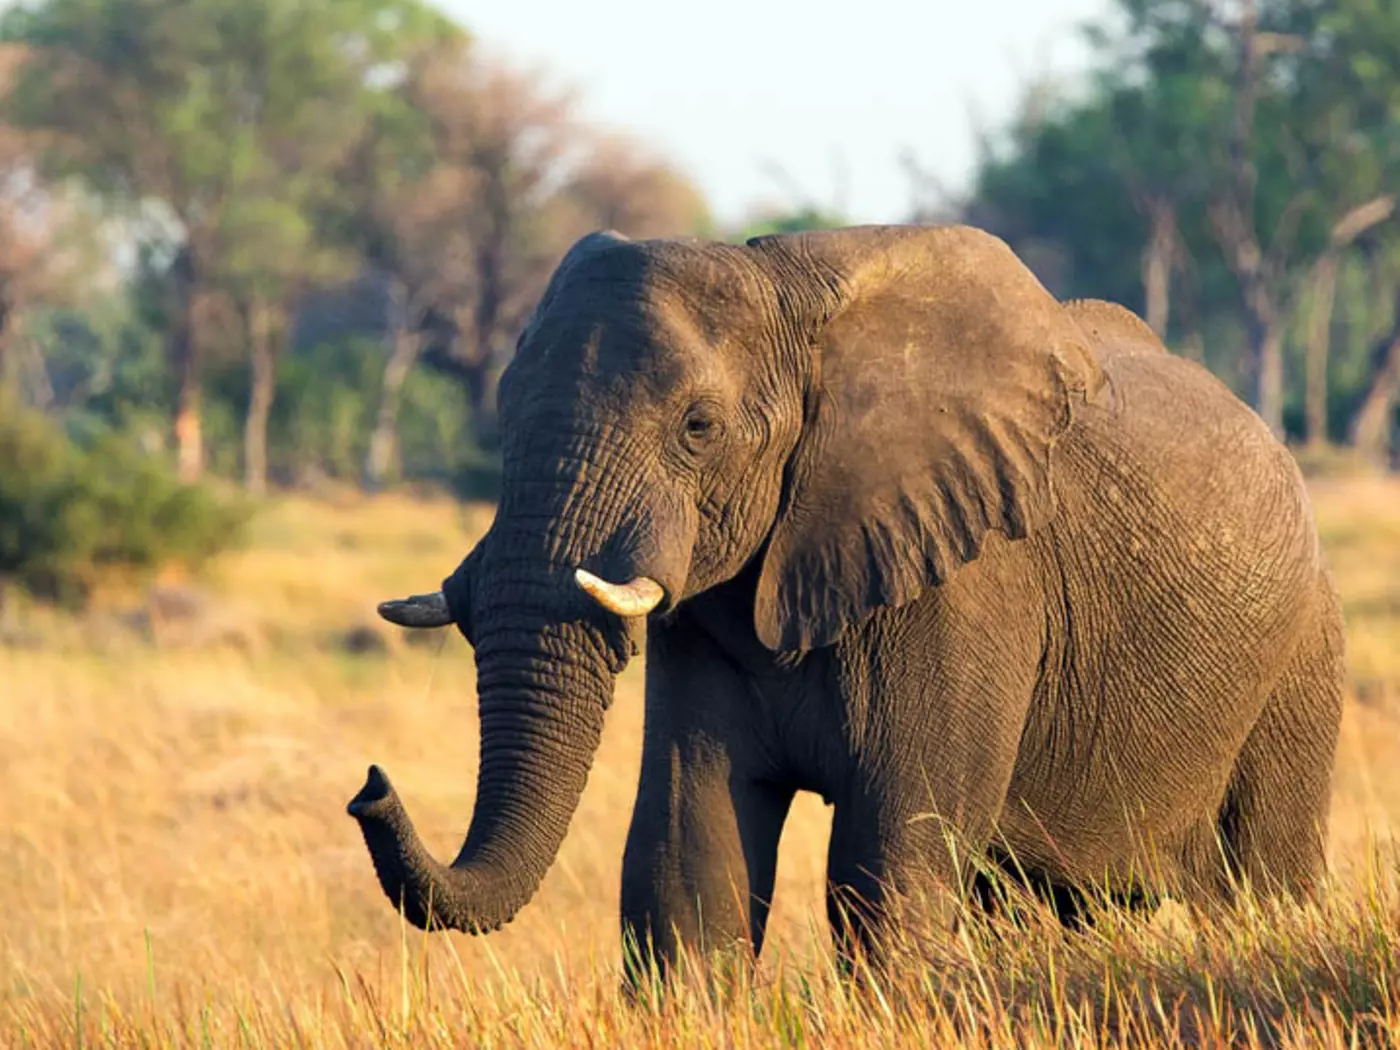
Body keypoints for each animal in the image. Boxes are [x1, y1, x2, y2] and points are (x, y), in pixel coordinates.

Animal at [347, 224, 1345, 974]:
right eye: (503, 411)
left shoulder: (971, 584)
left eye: (698, 428)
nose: (368, 785)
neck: (785, 288)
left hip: (1303, 659)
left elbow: (890, 868)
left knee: (1263, 884)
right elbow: (688, 862)